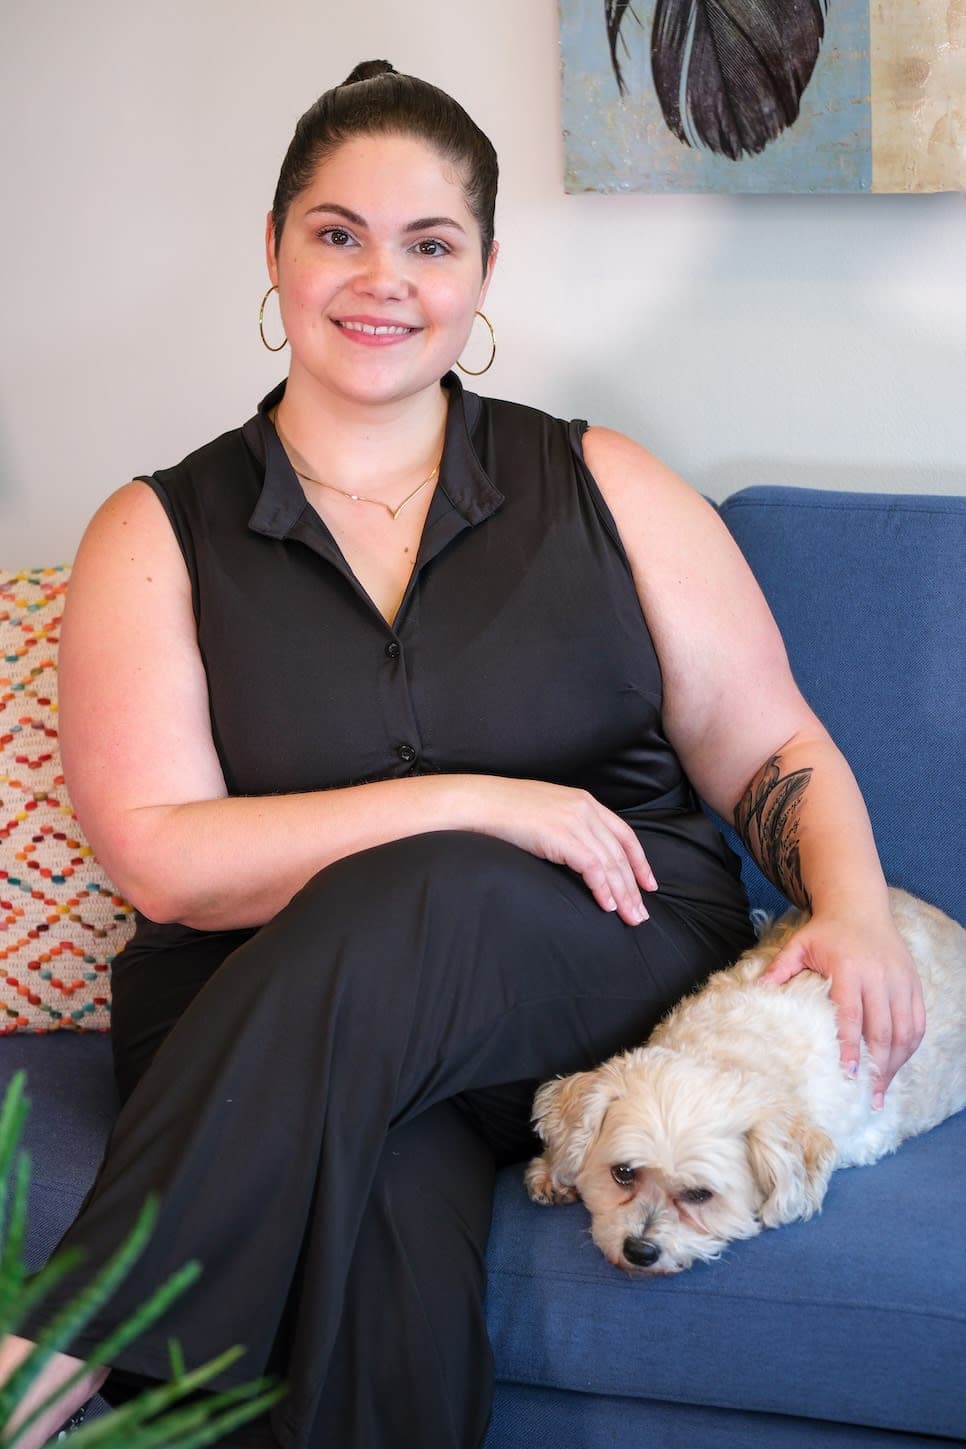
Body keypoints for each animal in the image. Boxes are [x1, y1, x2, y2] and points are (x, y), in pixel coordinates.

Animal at [530, 886, 966, 1275]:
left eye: (700, 1195)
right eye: (623, 1173)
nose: (640, 1250)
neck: (732, 1049)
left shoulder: (866, 1133)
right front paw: (554, 1170)